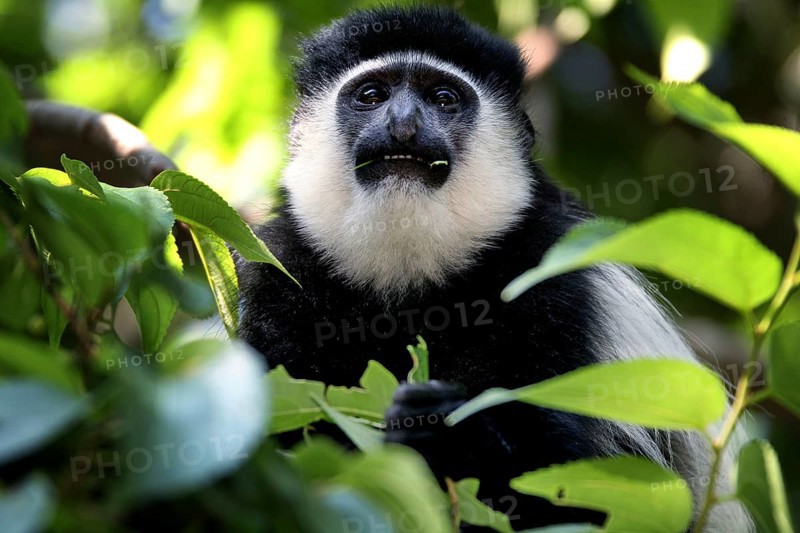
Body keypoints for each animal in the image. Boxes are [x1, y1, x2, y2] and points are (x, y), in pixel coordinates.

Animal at [235, 6, 751, 531]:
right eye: (372, 96)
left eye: (443, 99)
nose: (404, 123)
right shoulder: (275, 275)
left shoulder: (559, 283)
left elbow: (588, 495)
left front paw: (451, 432)